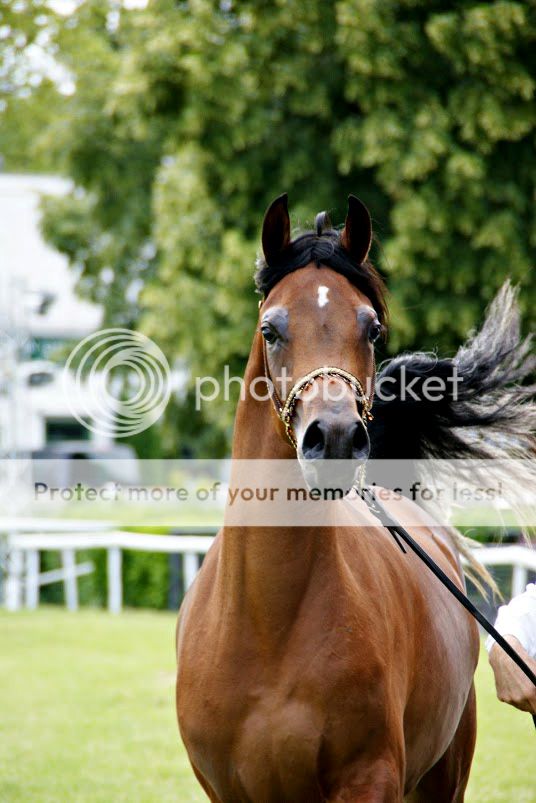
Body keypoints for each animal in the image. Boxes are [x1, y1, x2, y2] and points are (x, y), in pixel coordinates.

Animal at [176, 194, 535, 802]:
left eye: (371, 328)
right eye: (271, 329)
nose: (338, 437)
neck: (267, 625)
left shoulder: (369, 779)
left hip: (444, 775)